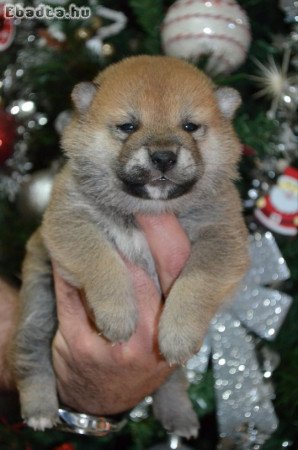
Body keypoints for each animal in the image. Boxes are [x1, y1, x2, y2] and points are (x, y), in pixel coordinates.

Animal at [12, 54, 249, 438]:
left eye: (190, 126)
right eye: (127, 126)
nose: (164, 157)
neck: (148, 209)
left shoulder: (224, 238)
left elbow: (196, 282)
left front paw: (178, 333)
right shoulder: (68, 221)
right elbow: (103, 263)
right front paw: (118, 316)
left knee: (171, 379)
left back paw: (179, 416)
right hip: (37, 306)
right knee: (30, 357)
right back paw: (40, 411)